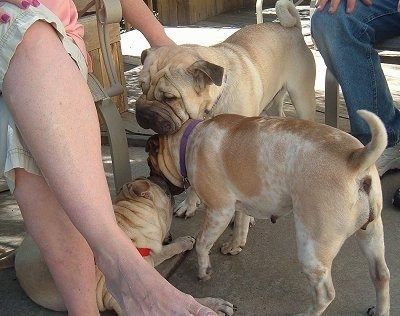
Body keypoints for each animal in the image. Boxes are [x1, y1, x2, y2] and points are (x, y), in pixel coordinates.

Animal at [0, 178, 236, 316]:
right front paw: (210, 304)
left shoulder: (149, 258)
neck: (129, 227)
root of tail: (16, 253)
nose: (162, 179)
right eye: (166, 193)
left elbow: (165, 253)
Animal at [146, 111, 390, 316]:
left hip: (313, 249)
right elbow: (241, 225)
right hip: (371, 234)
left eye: (150, 163)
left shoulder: (219, 211)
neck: (189, 140)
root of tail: (356, 159)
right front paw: (234, 245)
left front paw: (204, 270)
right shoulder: (242, 203)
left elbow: (202, 243)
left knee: (325, 295)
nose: (152, 180)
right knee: (381, 276)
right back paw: (380, 310)